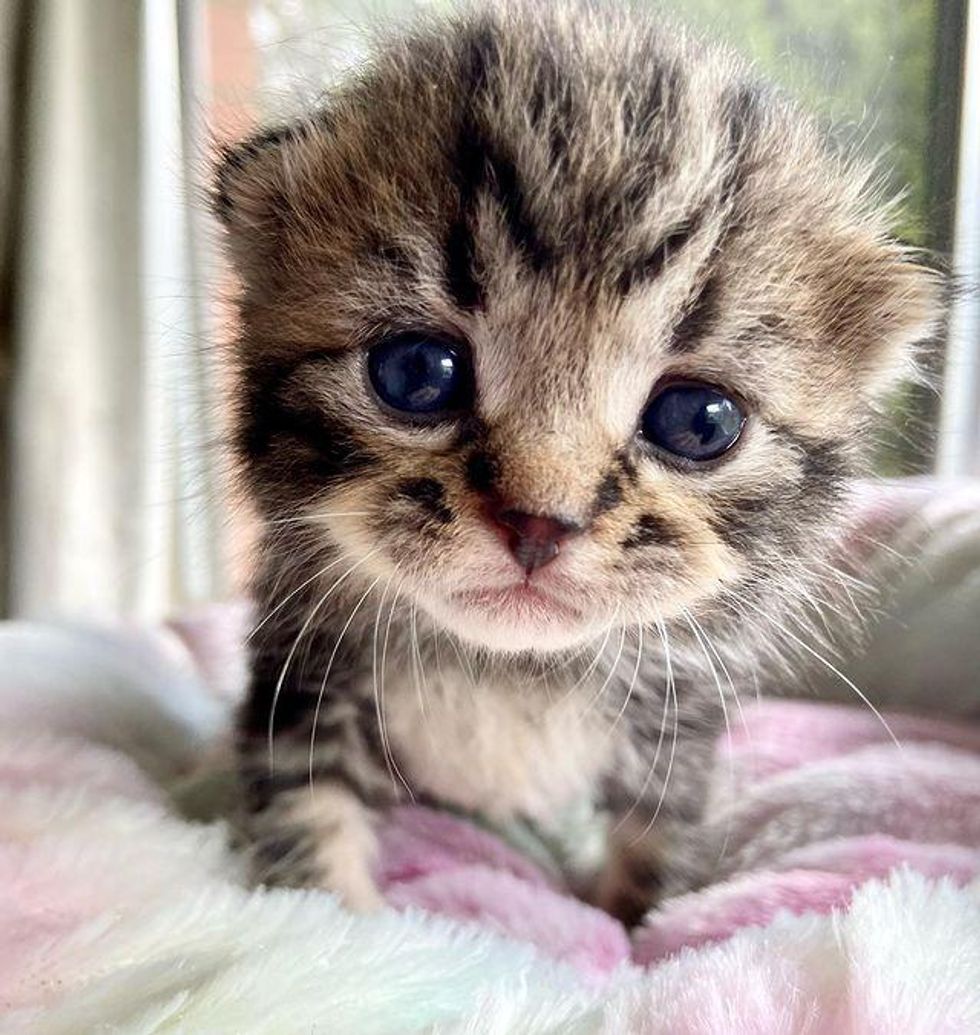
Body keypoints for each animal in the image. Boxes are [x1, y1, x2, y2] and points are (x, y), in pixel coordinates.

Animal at [216, 0, 943, 923]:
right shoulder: (302, 670)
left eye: (699, 422)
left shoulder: (680, 720)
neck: (510, 671)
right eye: (415, 372)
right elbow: (306, 815)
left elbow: (663, 837)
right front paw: (340, 913)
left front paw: (643, 920)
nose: (538, 523)